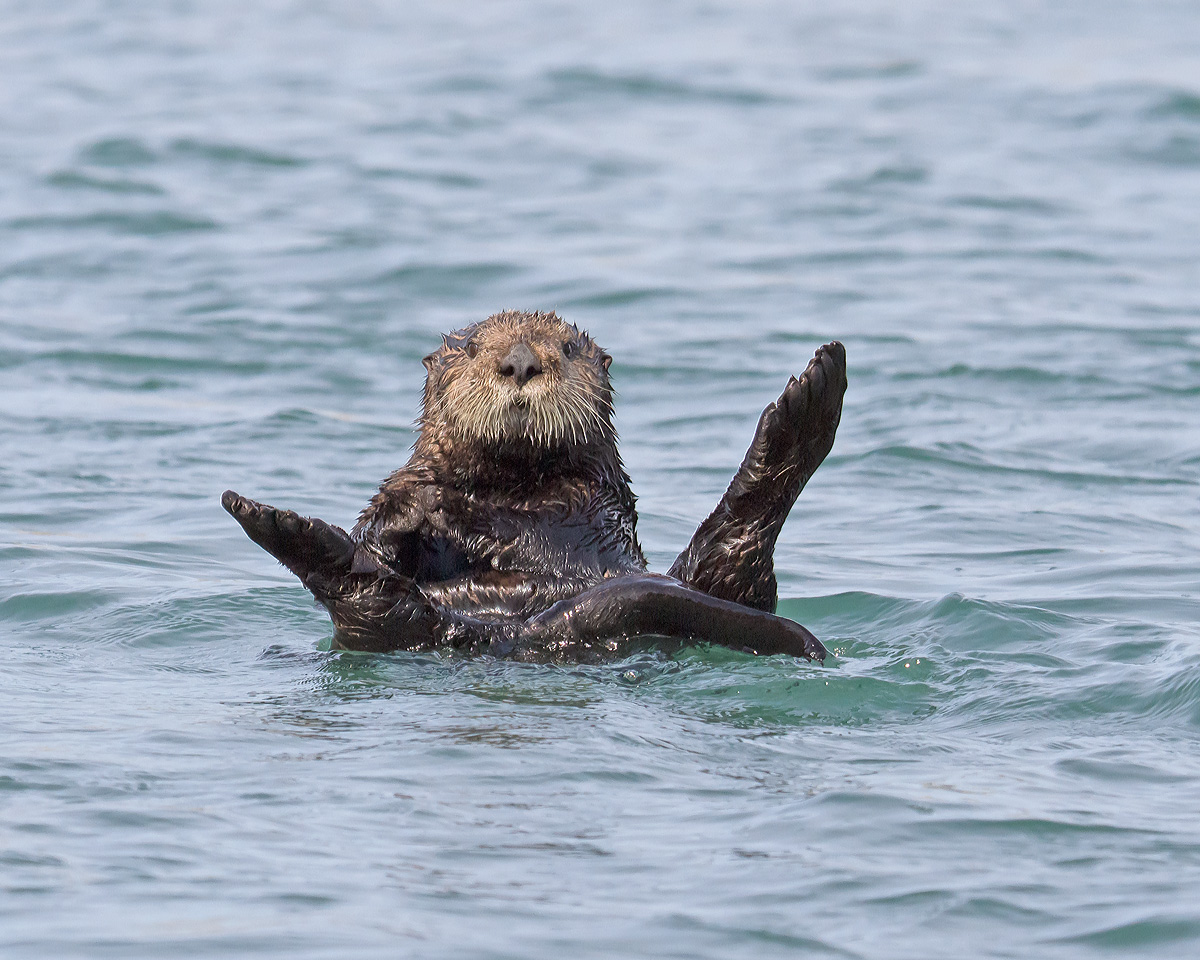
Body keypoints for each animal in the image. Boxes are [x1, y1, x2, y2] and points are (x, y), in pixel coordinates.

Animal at [223, 310, 846, 663]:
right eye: (472, 348)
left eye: (567, 348)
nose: (520, 362)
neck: (507, 484)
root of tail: (517, 637)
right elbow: (381, 530)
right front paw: (410, 509)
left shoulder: (587, 512)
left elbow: (524, 531)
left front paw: (443, 508)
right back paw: (275, 523)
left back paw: (812, 398)